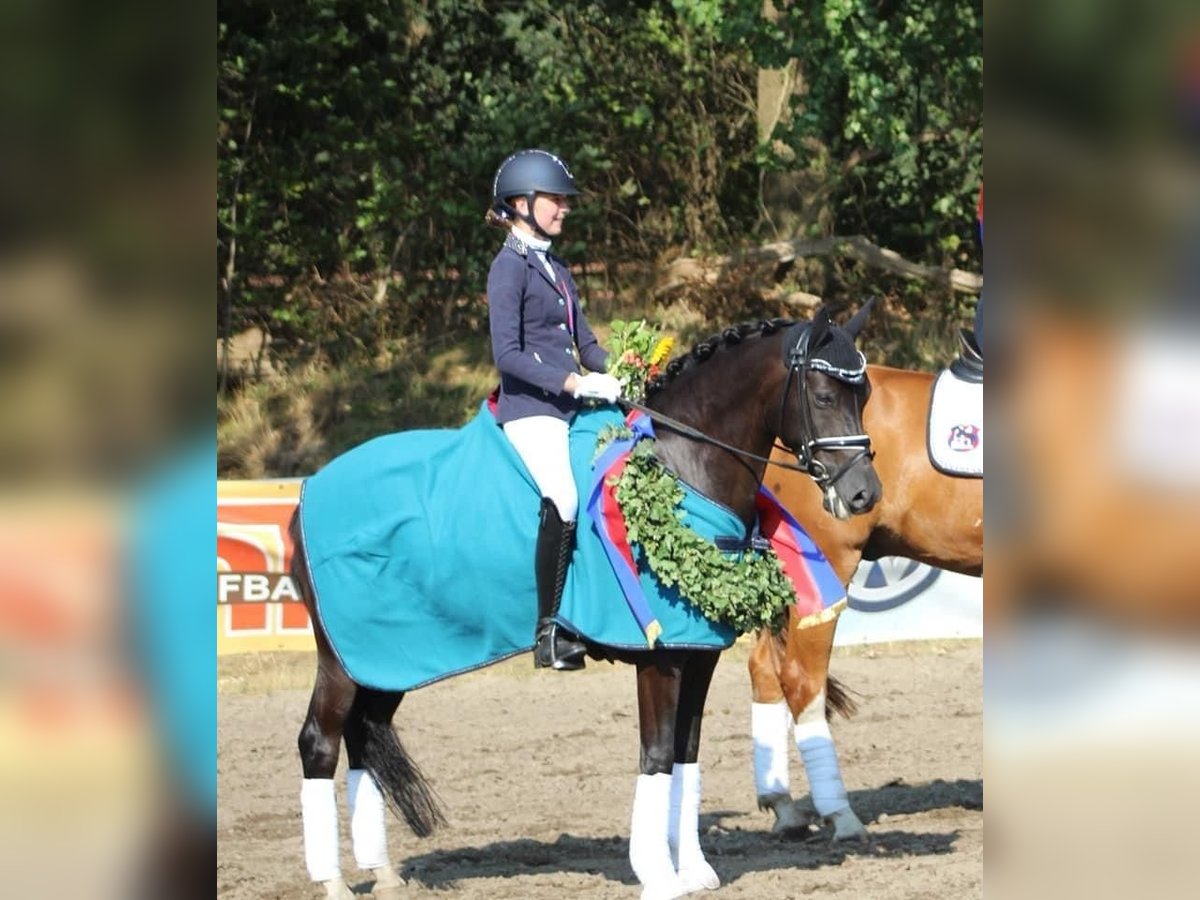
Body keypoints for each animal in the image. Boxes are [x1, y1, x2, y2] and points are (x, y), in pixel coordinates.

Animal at [285, 309, 878, 900]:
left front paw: (693, 869)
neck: (680, 465)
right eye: (824, 396)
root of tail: (307, 493)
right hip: (341, 660)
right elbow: (656, 755)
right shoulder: (660, 659)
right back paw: (333, 881)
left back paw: (384, 874)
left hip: (386, 659)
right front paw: (658, 875)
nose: (865, 495)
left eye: (866, 392)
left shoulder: (699, 653)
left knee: (361, 741)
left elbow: (686, 752)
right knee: (319, 742)